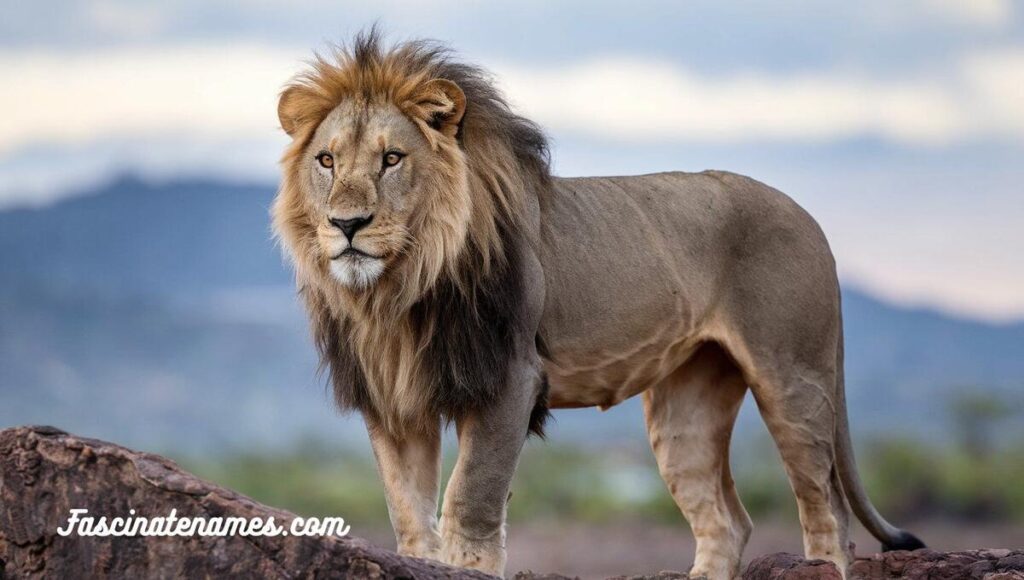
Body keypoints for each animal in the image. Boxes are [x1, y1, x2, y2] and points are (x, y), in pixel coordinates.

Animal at [270, 30, 921, 580]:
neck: (399, 291)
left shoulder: (511, 379)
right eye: (327, 161)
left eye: (392, 159)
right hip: (686, 407)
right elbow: (409, 514)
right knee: (727, 521)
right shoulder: (394, 401)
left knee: (827, 509)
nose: (346, 224)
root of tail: (811, 220)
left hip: (794, 378)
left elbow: (470, 500)